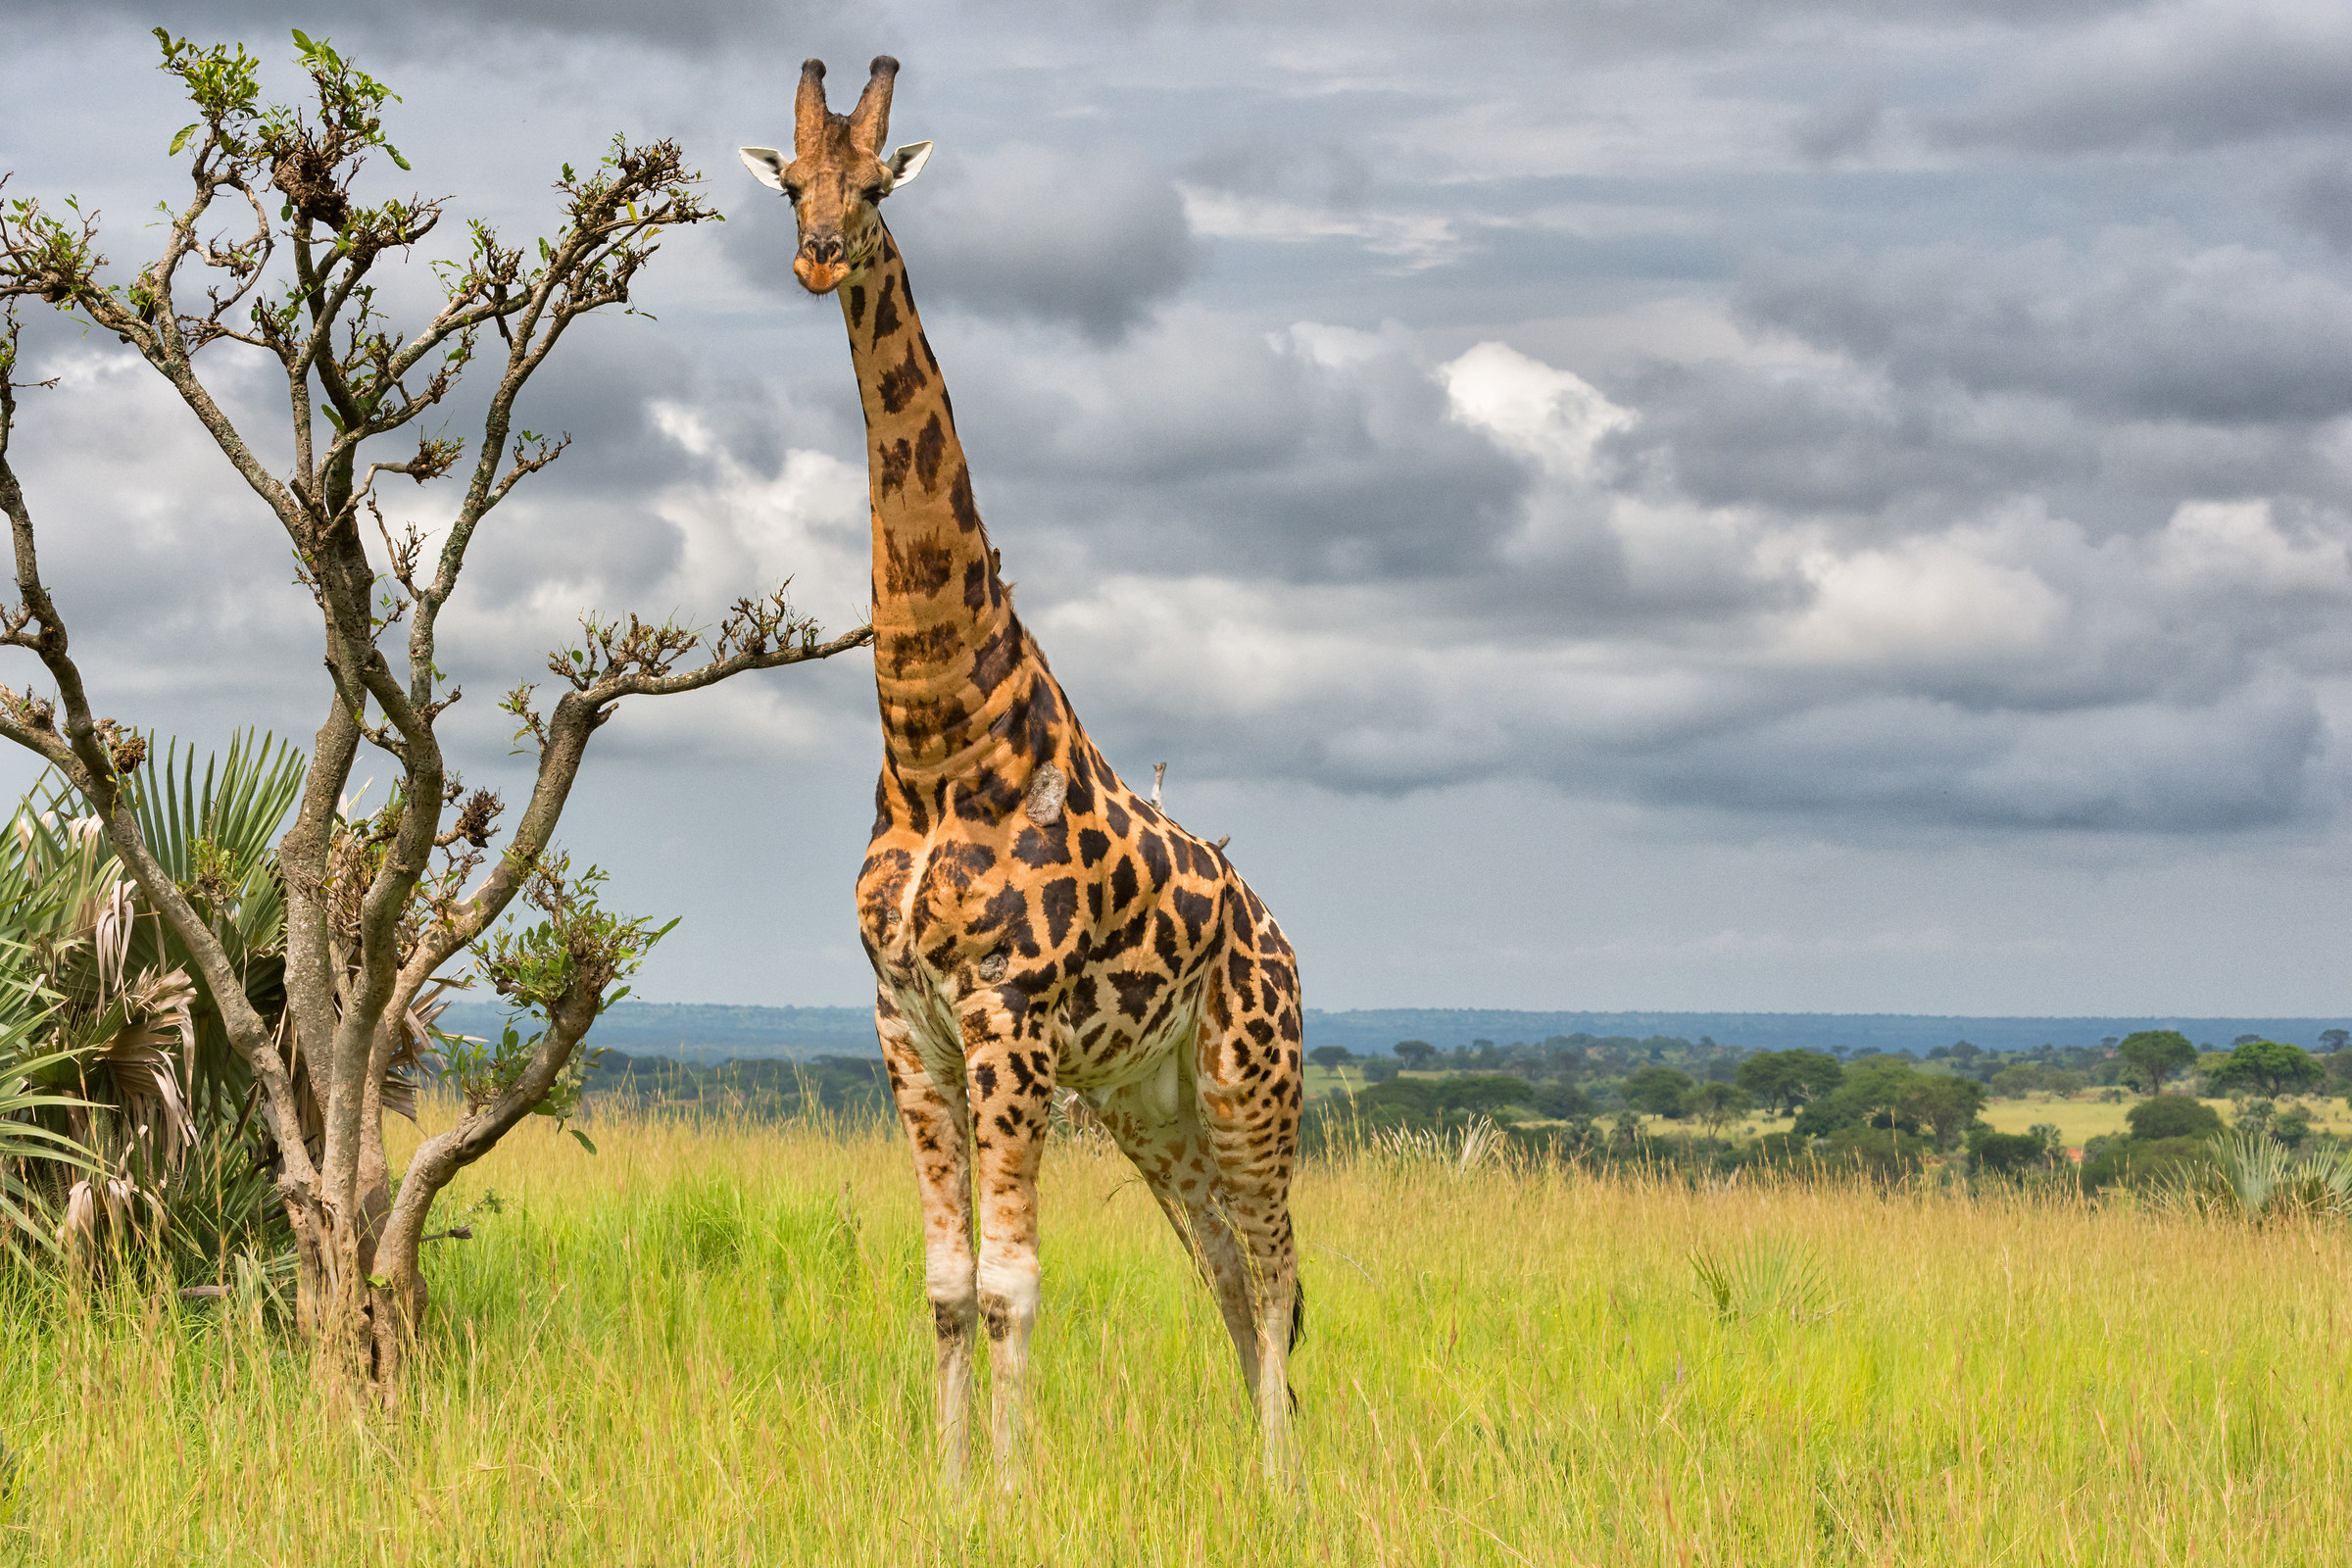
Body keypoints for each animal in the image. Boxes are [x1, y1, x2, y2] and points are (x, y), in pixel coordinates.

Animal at [739, 56, 1306, 1488]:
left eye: (877, 187)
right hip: (1151, 1101)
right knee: (1227, 1269)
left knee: (1277, 1271)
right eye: (792, 179)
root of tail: (1278, 936)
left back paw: (1287, 1486)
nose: (818, 255)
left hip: (1250, 1079)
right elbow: (948, 1286)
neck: (938, 744)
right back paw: (1249, 1466)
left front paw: (1010, 1492)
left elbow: (1011, 1287)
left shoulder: (1008, 1011)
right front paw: (947, 1490)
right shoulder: (908, 1021)